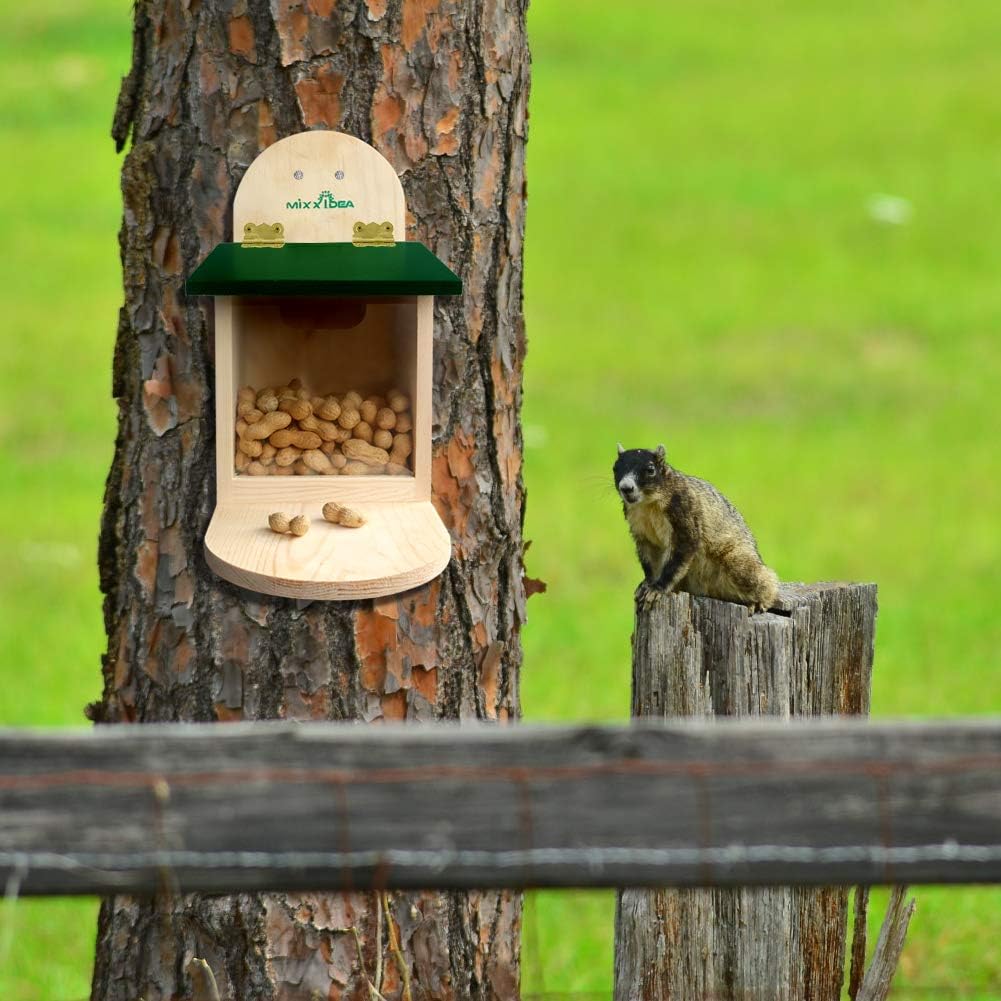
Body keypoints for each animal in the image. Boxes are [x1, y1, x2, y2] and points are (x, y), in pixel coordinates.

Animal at [613, 443, 779, 613]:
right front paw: (647, 584)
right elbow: (649, 562)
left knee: (764, 583)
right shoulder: (642, 534)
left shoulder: (685, 515)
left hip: (739, 565)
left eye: (650, 469)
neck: (647, 504)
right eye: (615, 468)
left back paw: (758, 602)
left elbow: (679, 556)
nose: (626, 488)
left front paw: (657, 589)